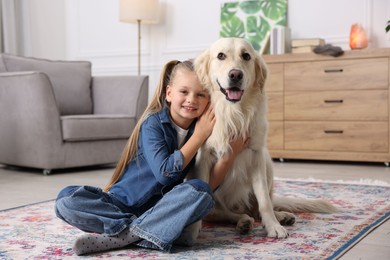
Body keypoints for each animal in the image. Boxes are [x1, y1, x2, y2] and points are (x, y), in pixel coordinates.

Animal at [187, 37, 338, 241]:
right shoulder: (203, 156)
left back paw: (279, 217)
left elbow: (264, 200)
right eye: (221, 56)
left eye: (246, 56)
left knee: (259, 208)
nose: (236, 74)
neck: (234, 113)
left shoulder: (256, 155)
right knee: (224, 213)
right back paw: (243, 221)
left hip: (268, 163)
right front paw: (192, 231)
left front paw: (273, 226)